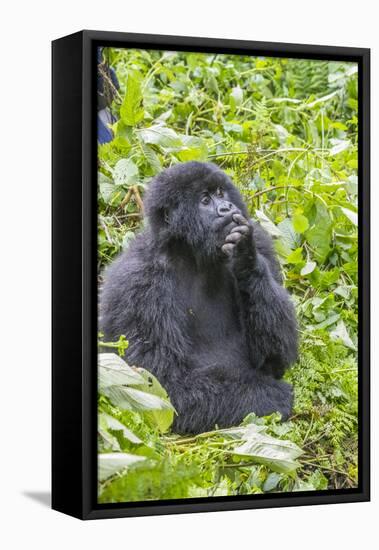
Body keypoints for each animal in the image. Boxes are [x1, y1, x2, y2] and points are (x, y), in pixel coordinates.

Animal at [101, 161, 300, 436]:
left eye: (220, 193)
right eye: (205, 201)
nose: (226, 207)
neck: (190, 253)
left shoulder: (262, 243)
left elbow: (273, 358)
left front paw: (246, 259)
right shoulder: (137, 283)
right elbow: (166, 385)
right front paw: (273, 396)